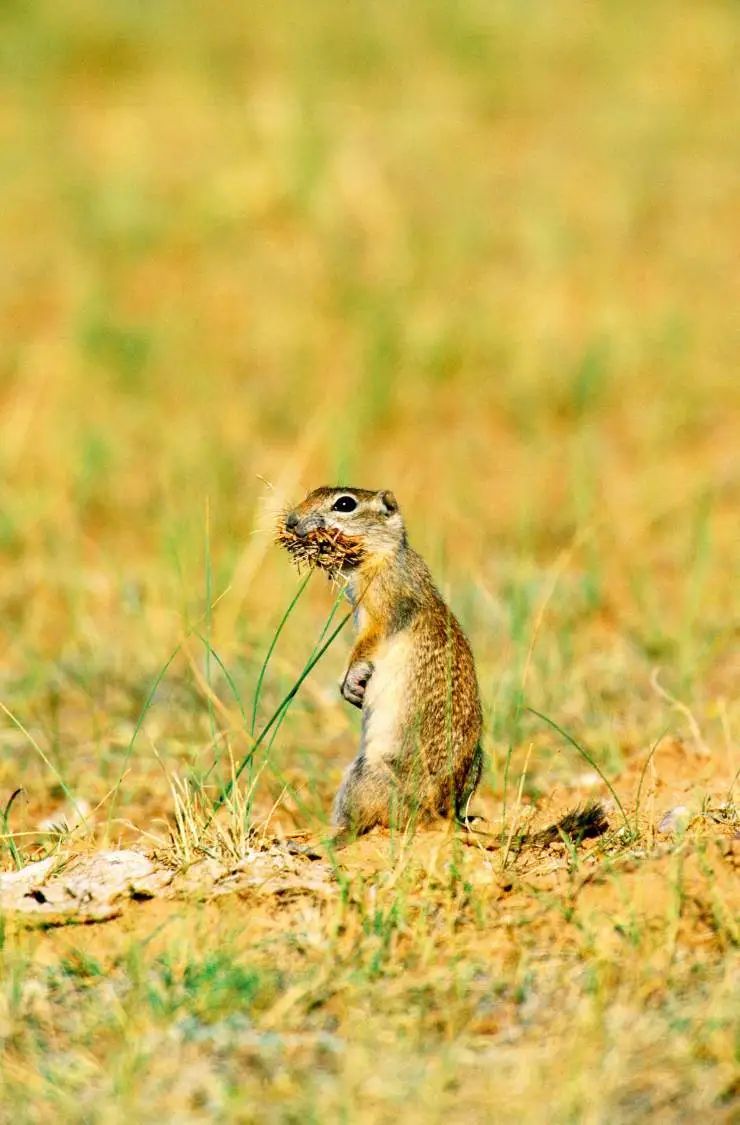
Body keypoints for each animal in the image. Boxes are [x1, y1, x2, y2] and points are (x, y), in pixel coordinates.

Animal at [275, 483, 479, 837]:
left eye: (345, 504)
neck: (387, 554)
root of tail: (441, 815)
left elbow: (366, 646)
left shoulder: (378, 607)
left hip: (362, 774)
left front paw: (351, 684)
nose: (291, 521)